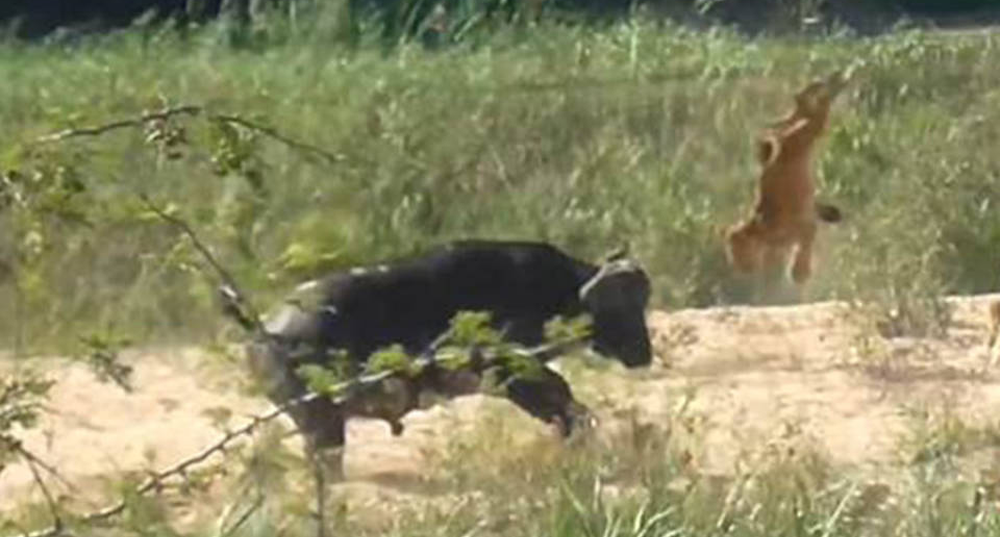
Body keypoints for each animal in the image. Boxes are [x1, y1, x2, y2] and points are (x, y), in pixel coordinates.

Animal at [246, 241, 652, 476]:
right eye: (624, 309)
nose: (644, 353)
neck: (556, 288)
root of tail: (266, 331)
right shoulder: (512, 371)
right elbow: (560, 397)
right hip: (322, 423)